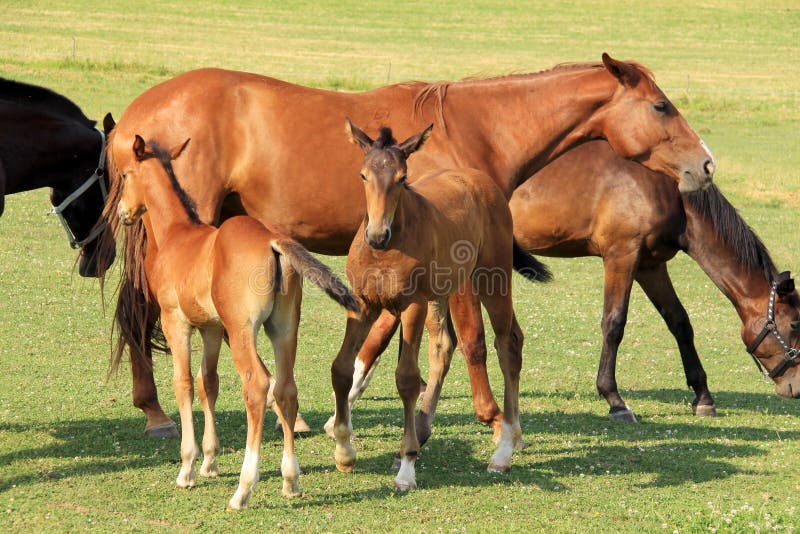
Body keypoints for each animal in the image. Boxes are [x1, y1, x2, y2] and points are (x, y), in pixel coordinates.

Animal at [99, 53, 716, 439]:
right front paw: (489, 417)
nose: (705, 164)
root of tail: (131, 118)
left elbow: (423, 340)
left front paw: (402, 413)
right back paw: (158, 413)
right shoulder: (459, 265)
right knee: (141, 312)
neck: (477, 130)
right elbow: (469, 340)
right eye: (661, 107)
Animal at [115, 135, 358, 509]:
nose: (122, 212)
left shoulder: (177, 323)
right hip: (283, 328)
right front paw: (210, 462)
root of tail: (274, 240)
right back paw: (290, 480)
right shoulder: (213, 329)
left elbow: (184, 383)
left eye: (125, 175)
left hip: (243, 331)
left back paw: (244, 489)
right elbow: (208, 383)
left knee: (257, 386)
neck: (176, 235)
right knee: (286, 388)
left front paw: (188, 467)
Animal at [331, 120, 547, 489]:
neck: (385, 251)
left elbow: (406, 378)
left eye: (402, 177)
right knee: (445, 345)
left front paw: (407, 468)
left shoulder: (413, 305)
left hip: (491, 279)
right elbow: (341, 368)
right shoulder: (363, 303)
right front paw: (345, 452)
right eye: (362, 175)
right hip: (445, 291)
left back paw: (503, 451)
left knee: (508, 343)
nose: (377, 234)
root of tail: (480, 180)